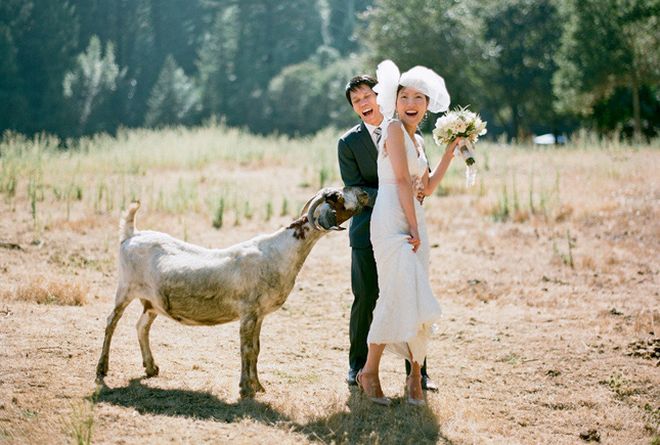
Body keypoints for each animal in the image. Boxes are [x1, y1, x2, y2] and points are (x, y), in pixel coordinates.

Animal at [95, 186, 368, 398]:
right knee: (110, 323)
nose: (365, 193)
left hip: (151, 301)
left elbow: (256, 349)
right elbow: (247, 349)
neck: (279, 251)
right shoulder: (248, 312)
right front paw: (246, 388)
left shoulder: (259, 315)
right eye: (336, 195)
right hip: (125, 288)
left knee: (141, 326)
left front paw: (258, 387)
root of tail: (131, 234)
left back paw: (151, 368)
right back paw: (102, 370)